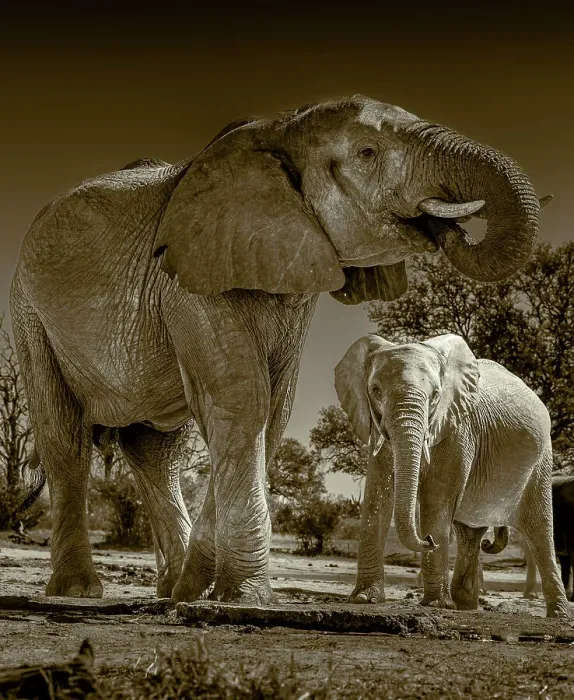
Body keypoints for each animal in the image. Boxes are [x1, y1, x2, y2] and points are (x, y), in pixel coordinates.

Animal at [10, 94, 549, 605]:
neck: (281, 126)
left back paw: (169, 588)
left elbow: (271, 409)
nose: (448, 226)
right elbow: (243, 398)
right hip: (29, 314)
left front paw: (200, 592)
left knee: (156, 454)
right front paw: (242, 596)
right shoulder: (187, 279)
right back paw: (78, 589)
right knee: (64, 438)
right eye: (367, 152)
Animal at [335, 332, 570, 617]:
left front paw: (436, 604)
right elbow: (378, 495)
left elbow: (437, 498)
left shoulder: (459, 428)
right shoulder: (376, 425)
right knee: (469, 532)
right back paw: (466, 605)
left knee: (540, 528)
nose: (428, 540)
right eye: (375, 390)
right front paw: (364, 599)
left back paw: (558, 614)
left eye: (436, 394)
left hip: (542, 460)